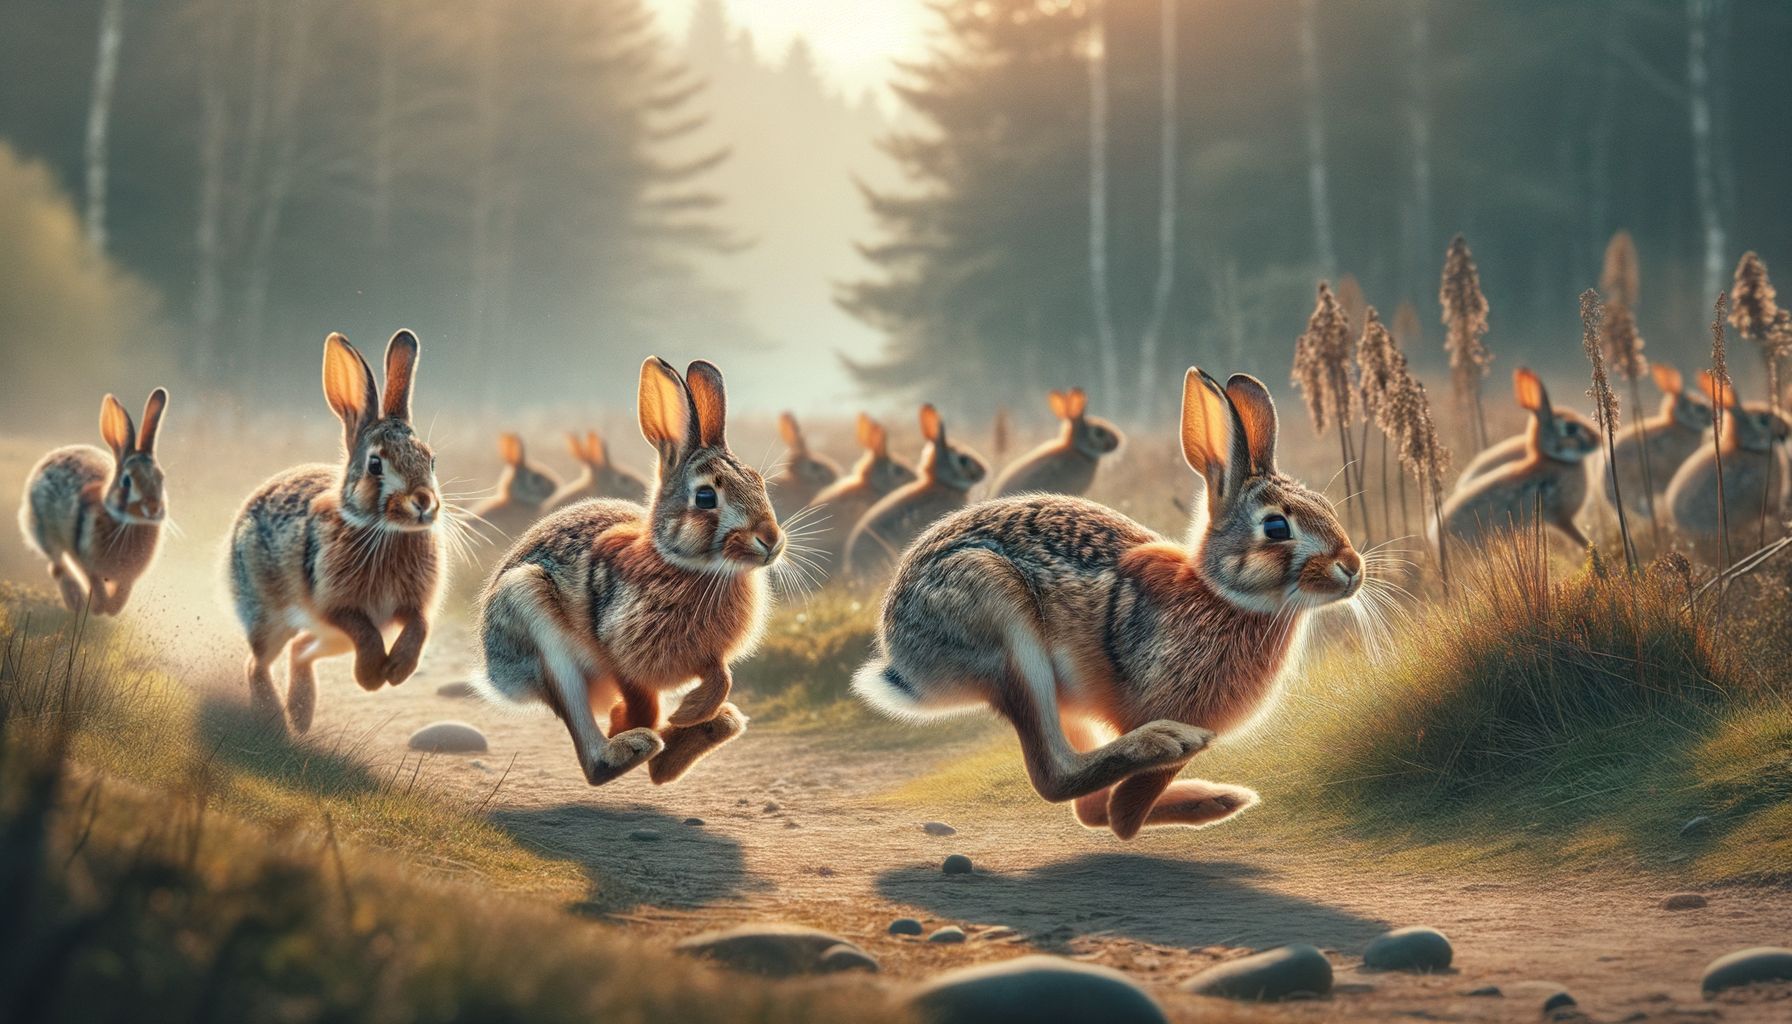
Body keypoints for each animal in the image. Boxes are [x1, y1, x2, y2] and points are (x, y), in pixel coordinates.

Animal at [18, 389, 170, 615]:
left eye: (161, 478)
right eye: (127, 481)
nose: (152, 508)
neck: (127, 523)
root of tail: (45, 462)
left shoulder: (128, 577)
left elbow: (122, 592)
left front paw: (112, 608)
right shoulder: (87, 561)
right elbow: (95, 582)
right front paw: (99, 608)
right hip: (45, 530)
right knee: (57, 564)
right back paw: (76, 601)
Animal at [226, 331, 443, 733]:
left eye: (431, 459)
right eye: (375, 464)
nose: (423, 501)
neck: (384, 530)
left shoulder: (412, 605)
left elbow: (419, 626)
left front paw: (396, 671)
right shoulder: (335, 605)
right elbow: (364, 629)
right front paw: (372, 676)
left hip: (328, 641)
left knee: (299, 651)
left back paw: (301, 716)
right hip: (270, 619)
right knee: (258, 662)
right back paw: (274, 721)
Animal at [476, 358, 782, 787]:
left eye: (759, 483)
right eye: (706, 497)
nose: (771, 540)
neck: (688, 565)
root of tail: (495, 675)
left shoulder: (707, 656)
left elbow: (722, 677)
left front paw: (689, 712)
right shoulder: (619, 650)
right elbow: (642, 699)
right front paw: (635, 719)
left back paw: (705, 732)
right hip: (532, 617)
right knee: (590, 755)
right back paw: (633, 747)